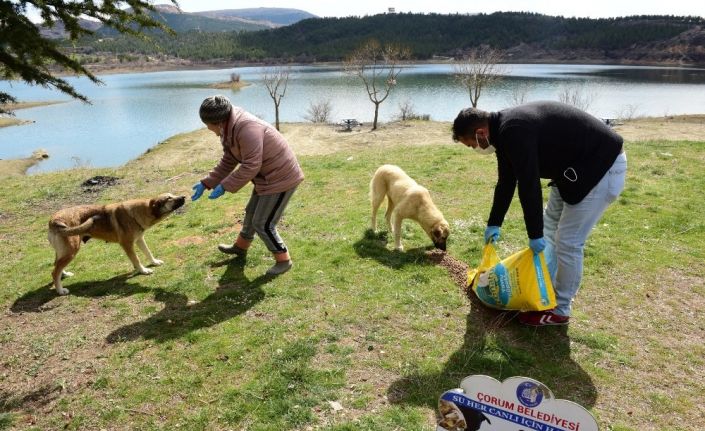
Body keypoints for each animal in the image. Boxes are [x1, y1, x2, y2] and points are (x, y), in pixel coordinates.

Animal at [48, 194, 188, 296]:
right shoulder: (127, 244)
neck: (137, 213)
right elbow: (137, 259)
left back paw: (64, 275)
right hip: (72, 251)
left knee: (57, 265)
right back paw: (60, 290)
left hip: (64, 252)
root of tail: (54, 220)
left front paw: (154, 262)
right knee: (54, 272)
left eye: (172, 194)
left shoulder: (139, 239)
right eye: (169, 198)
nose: (184, 196)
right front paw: (143, 271)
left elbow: (148, 252)